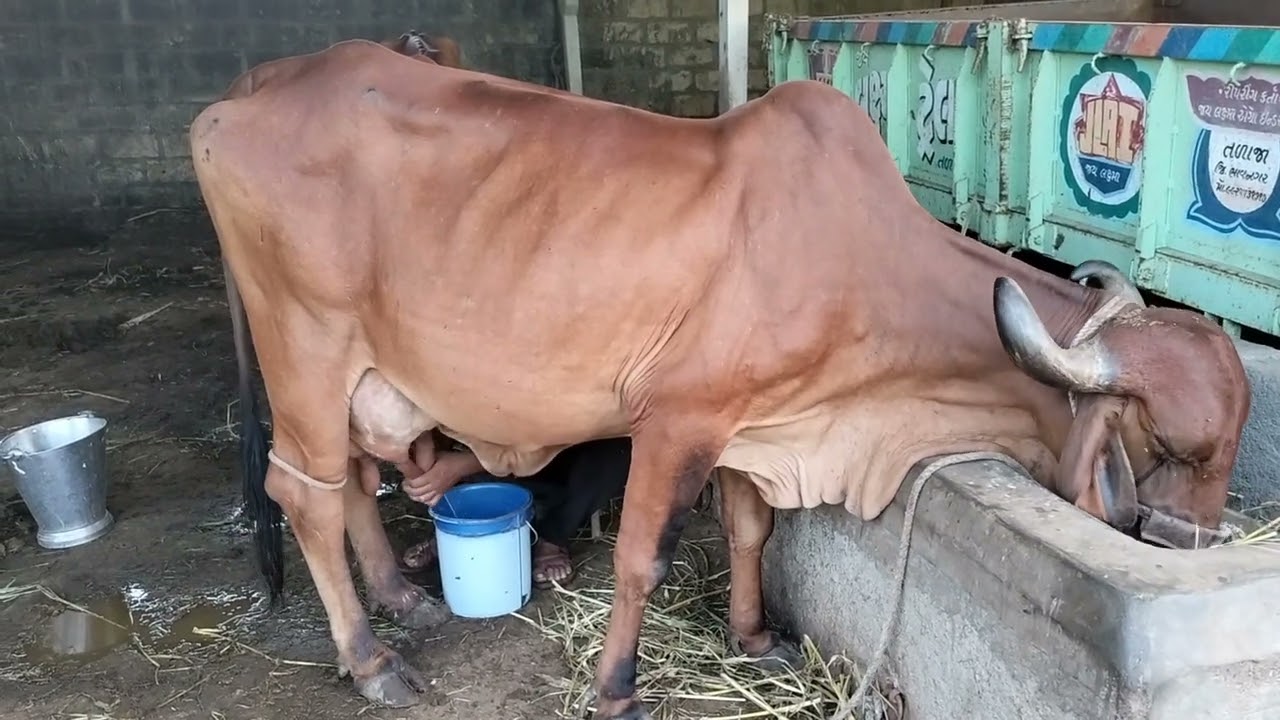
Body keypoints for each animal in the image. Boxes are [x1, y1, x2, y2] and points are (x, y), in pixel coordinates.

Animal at [190, 37, 1250, 719]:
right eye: (1172, 442)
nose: (1193, 542)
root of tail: (240, 96)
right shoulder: (678, 421)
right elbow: (641, 559)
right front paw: (617, 689)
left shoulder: (756, 424)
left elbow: (752, 531)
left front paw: (752, 637)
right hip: (306, 346)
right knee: (304, 491)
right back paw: (370, 660)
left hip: (358, 371)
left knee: (353, 479)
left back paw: (400, 600)